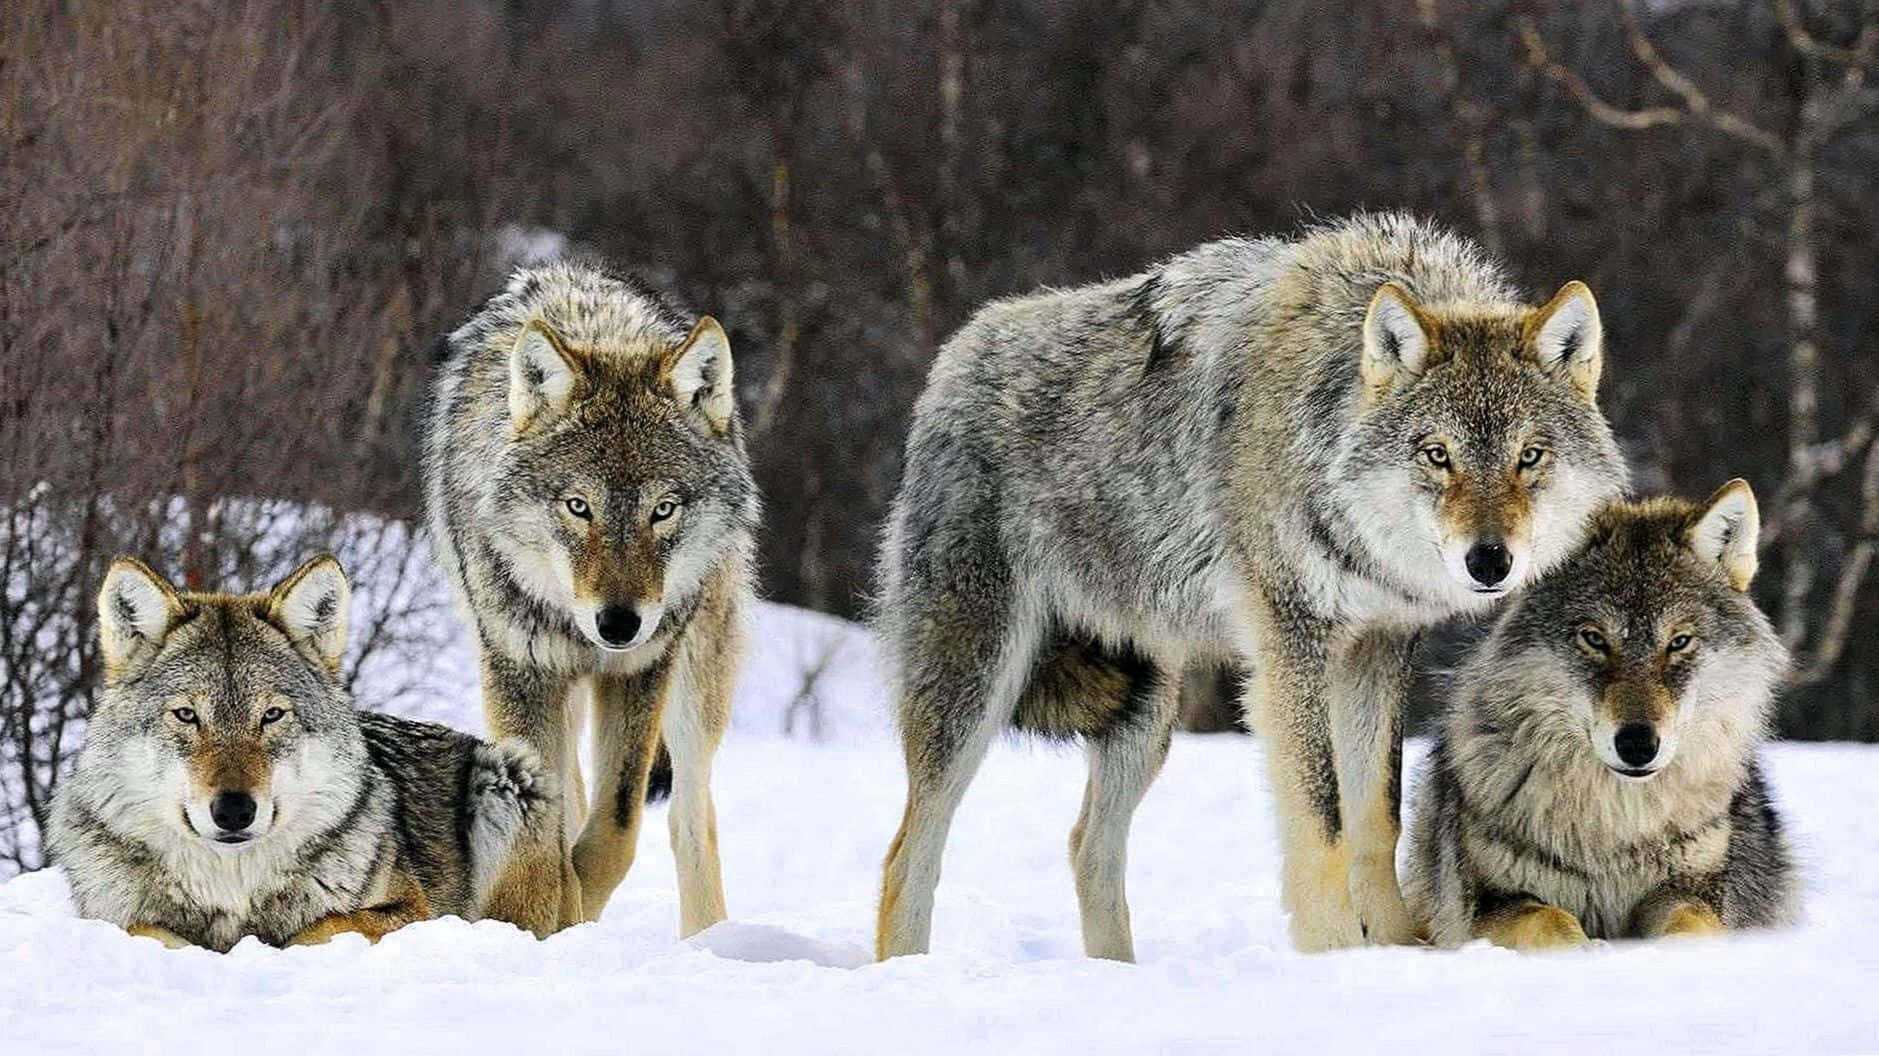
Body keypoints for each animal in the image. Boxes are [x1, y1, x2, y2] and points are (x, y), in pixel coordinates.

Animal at [47, 555, 556, 952]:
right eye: (187, 715)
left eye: (272, 715)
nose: (234, 811)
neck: (232, 889)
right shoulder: (113, 918)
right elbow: (147, 929)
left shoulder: (413, 910)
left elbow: (321, 927)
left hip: (509, 775)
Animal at [424, 260, 758, 936]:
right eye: (579, 506)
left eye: (664, 509)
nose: (619, 623)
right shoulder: (519, 671)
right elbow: (550, 831)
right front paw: (552, 918)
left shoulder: (640, 670)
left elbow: (615, 831)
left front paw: (575, 912)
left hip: (695, 683)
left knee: (690, 816)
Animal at [875, 213, 1628, 960]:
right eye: (1436, 455)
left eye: (1529, 456)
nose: (1489, 562)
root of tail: (954, 356)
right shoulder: (1290, 645)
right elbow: (1322, 820)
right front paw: (1334, 954)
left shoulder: (1377, 648)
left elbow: (1376, 818)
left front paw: (1393, 948)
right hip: (977, 684)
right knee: (907, 854)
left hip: (1146, 710)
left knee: (1087, 845)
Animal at [1404, 482, 1797, 949]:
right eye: (1594, 638)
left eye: (1679, 642)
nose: (1638, 744)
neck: (1617, 828)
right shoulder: (1490, 905)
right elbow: (1550, 921)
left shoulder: (1694, 890)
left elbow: (1691, 925)